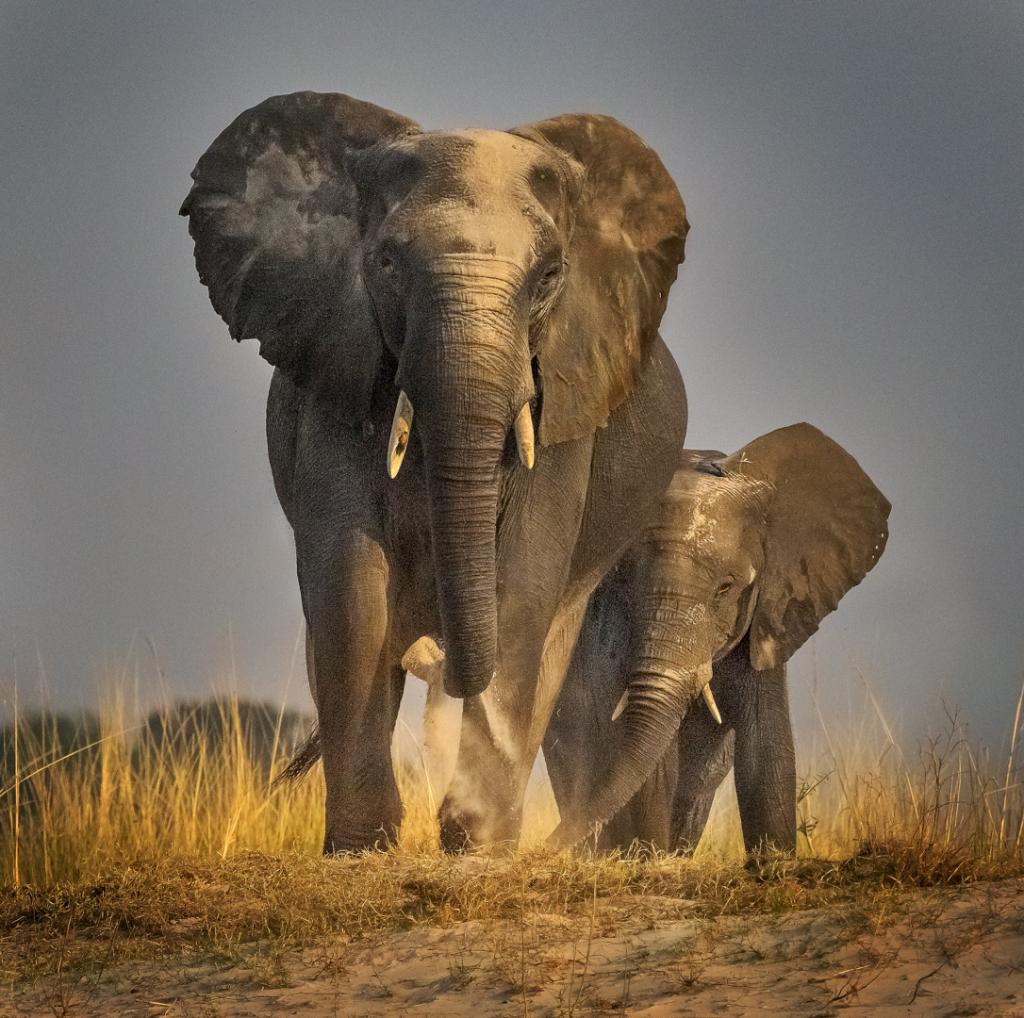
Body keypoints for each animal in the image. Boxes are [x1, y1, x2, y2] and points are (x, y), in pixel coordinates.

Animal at [178, 93, 688, 847]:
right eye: (388, 264)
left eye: (549, 277)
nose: (440, 659)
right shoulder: (338, 370)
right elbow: (349, 586)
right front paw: (363, 846)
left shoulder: (566, 400)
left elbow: (522, 582)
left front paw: (473, 842)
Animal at [544, 423, 888, 852]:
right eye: (626, 579)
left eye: (725, 588)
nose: (540, 844)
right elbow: (643, 755)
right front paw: (648, 857)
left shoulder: (766, 608)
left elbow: (767, 742)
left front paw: (772, 861)